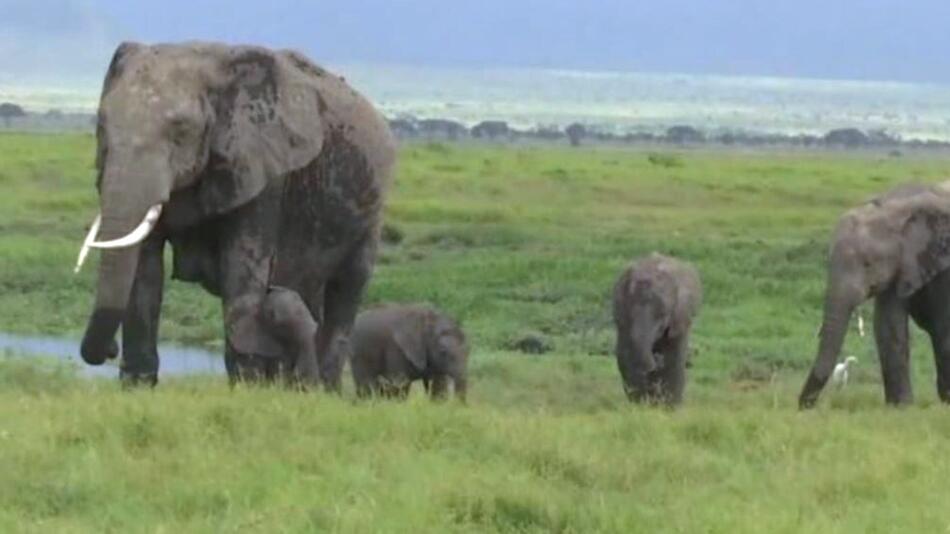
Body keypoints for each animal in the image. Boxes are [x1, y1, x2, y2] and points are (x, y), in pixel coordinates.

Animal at [75, 39, 398, 388]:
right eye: (102, 126)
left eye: (181, 131)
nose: (109, 349)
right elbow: (145, 273)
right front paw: (137, 387)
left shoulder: (265, 168)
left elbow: (240, 269)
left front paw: (246, 386)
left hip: (372, 210)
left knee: (347, 288)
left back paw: (322, 388)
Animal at [612, 253, 704, 408]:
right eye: (630, 312)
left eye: (663, 316)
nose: (655, 362)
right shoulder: (622, 317)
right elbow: (624, 355)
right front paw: (641, 406)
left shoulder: (679, 317)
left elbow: (674, 358)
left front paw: (669, 408)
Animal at [800, 182, 950, 408]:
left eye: (868, 264)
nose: (804, 406)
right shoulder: (900, 265)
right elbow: (888, 327)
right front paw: (900, 407)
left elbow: (944, 326)